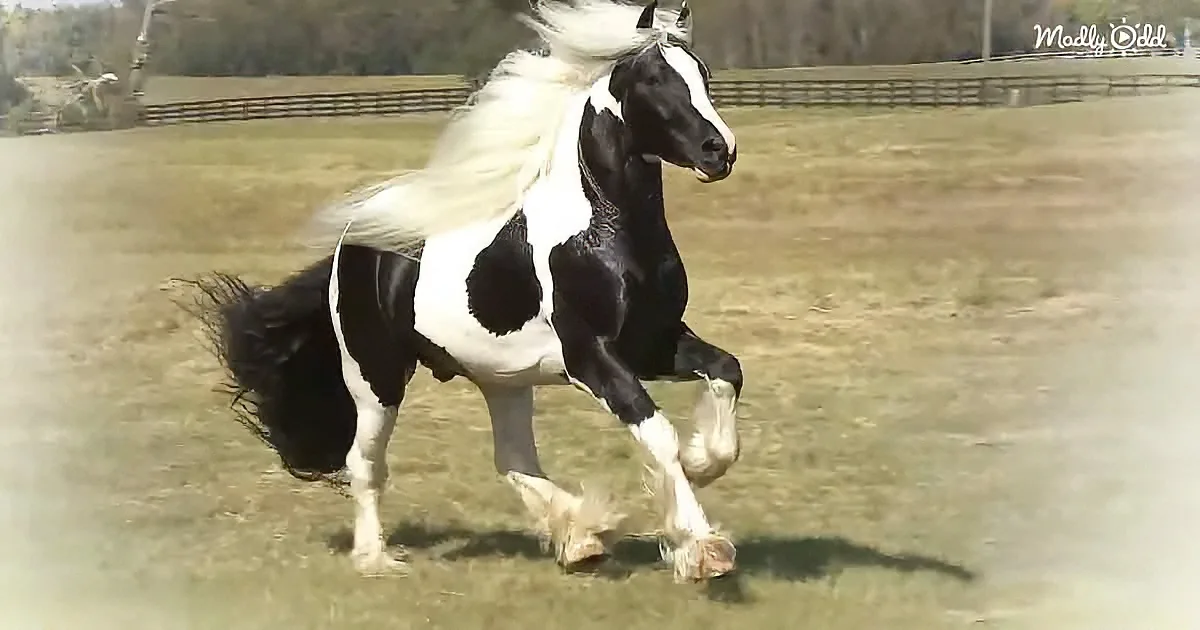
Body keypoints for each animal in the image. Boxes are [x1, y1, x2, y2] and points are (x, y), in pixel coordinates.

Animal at [187, 0, 743, 583]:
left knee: (513, 459)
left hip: (503, 377)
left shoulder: (654, 344)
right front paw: (704, 548)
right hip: (375, 377)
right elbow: (658, 432)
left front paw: (704, 463)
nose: (720, 151)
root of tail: (354, 243)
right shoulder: (593, 357)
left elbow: (727, 372)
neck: (605, 230)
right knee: (366, 462)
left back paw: (581, 538)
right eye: (654, 79)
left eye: (702, 74)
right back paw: (376, 557)